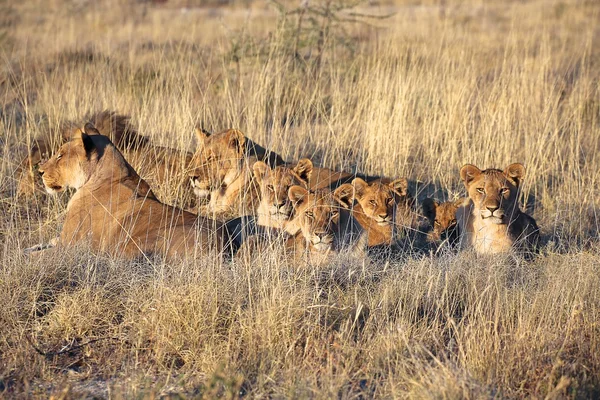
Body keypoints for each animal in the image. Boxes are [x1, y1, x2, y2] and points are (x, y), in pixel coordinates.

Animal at [33, 124, 225, 260]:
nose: (39, 171)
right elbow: (44, 244)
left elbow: (39, 256)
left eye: (60, 155)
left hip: (126, 246)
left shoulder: (69, 246)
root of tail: (221, 247)